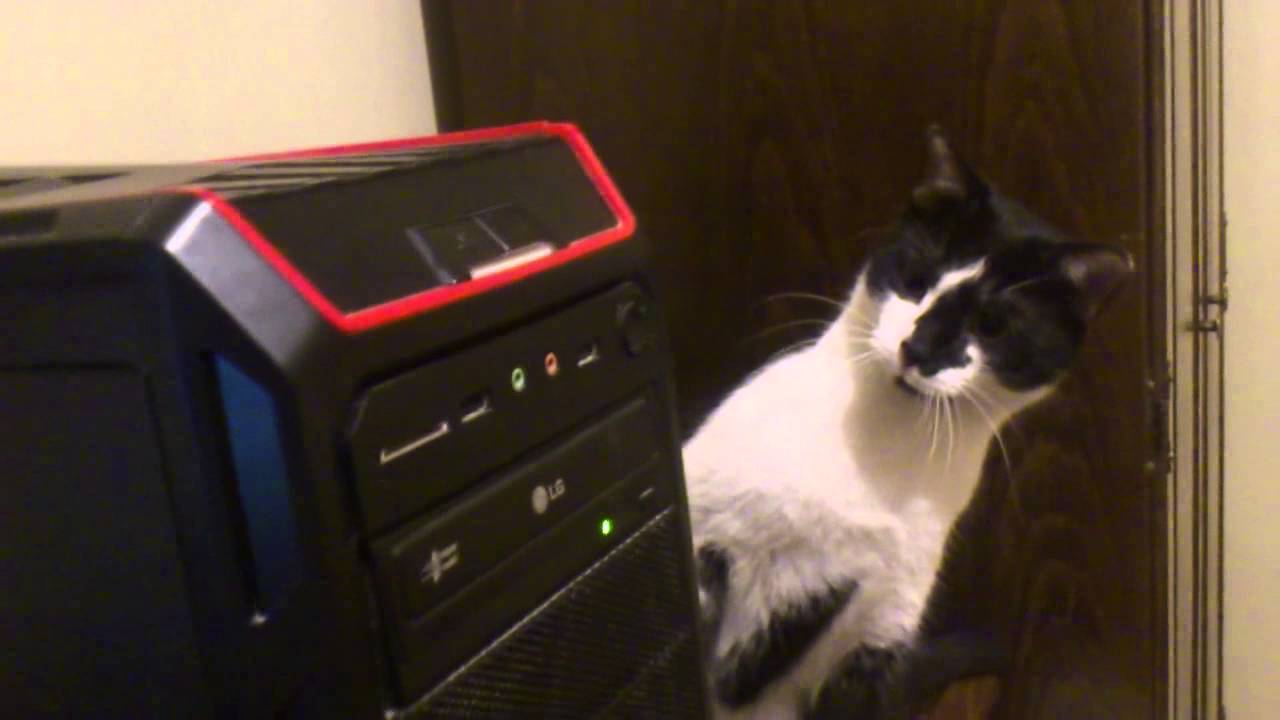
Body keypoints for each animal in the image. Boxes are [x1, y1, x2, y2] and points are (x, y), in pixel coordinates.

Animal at [682, 126, 1132, 720]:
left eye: (992, 326)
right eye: (917, 280)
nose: (918, 348)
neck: (879, 445)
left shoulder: (873, 637)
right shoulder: (706, 529)